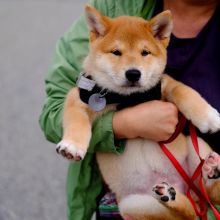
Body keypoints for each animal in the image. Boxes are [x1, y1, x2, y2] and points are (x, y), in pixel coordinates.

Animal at [55, 5, 220, 220]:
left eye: (145, 52)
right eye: (116, 52)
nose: (133, 73)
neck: (129, 98)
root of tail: (184, 188)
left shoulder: (165, 85)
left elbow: (185, 92)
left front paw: (209, 117)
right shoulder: (78, 98)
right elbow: (76, 121)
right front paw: (72, 146)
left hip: (197, 146)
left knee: (208, 194)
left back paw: (211, 169)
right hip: (133, 205)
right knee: (186, 213)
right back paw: (172, 195)